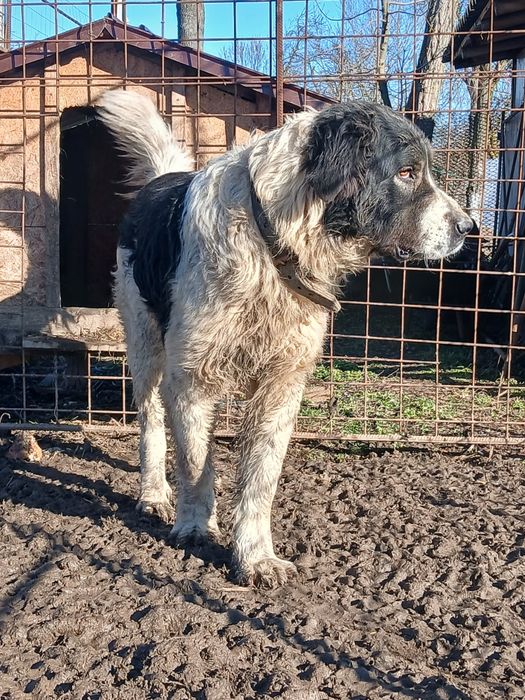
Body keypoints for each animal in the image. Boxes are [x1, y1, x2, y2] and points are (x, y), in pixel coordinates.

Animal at [96, 90, 473, 587]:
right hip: (145, 350)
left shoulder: (283, 384)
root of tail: (163, 178)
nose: (468, 227)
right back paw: (155, 493)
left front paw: (255, 555)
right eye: (406, 173)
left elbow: (260, 479)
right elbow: (196, 465)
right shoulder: (191, 378)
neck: (273, 245)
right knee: (152, 424)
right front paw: (196, 526)